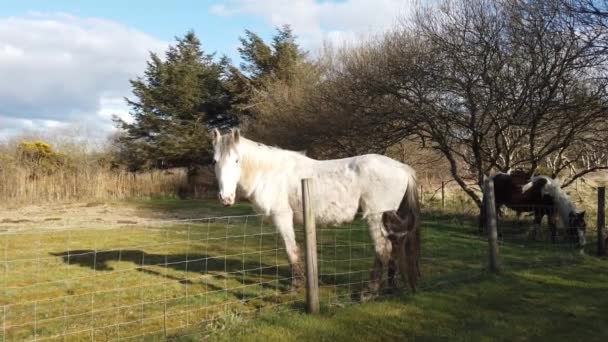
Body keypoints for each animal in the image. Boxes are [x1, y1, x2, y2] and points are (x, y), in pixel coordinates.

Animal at [211, 129, 420, 296]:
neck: (269, 173)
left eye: (236, 160)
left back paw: (369, 292)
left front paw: (296, 286)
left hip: (376, 217)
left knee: (383, 250)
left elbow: (291, 250)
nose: (225, 198)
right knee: (394, 249)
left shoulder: (282, 217)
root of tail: (402, 168)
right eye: (214, 161)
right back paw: (390, 288)